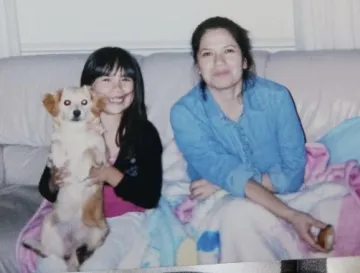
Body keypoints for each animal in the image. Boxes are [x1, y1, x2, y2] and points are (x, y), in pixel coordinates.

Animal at [22, 85, 109, 270]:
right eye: (67, 102)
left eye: (84, 102)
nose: (76, 112)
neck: (75, 133)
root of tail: (73, 243)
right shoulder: (54, 147)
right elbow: (57, 144)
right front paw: (60, 157)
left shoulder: (101, 156)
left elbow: (88, 150)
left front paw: (82, 168)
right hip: (48, 223)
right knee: (52, 254)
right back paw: (33, 244)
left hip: (99, 232)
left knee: (82, 253)